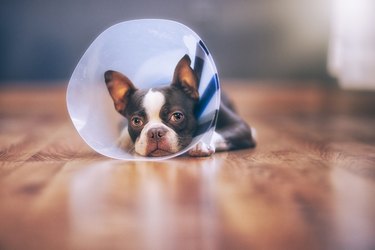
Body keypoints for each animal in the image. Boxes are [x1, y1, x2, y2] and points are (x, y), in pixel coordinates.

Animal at [104, 54, 258, 157]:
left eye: (177, 116)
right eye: (136, 121)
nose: (155, 132)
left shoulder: (240, 126)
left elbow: (218, 132)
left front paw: (201, 143)